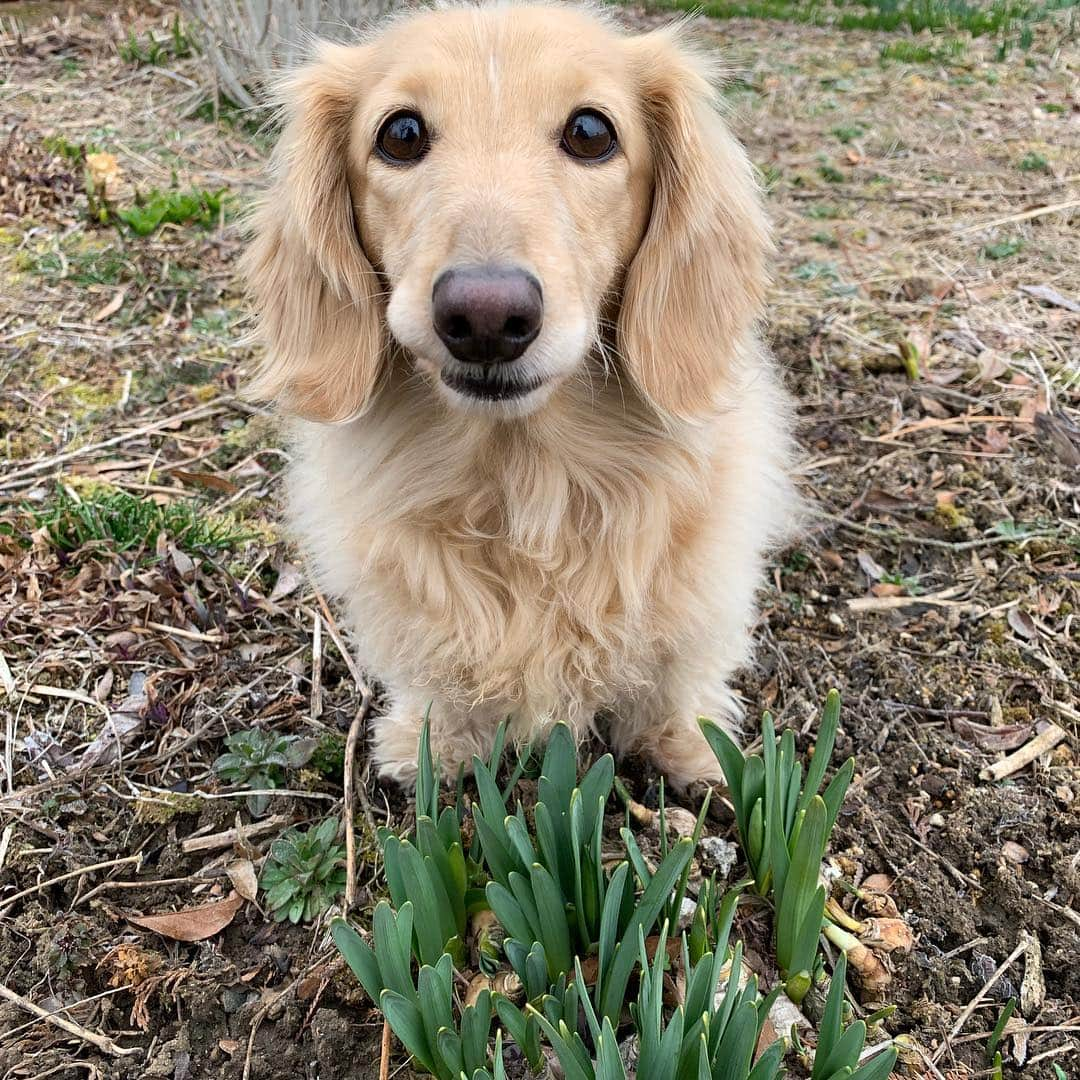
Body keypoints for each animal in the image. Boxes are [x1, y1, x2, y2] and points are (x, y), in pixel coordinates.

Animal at [247, 0, 803, 786]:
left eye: (591, 131)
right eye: (401, 134)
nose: (485, 318)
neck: (527, 481)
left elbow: (677, 671)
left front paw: (690, 745)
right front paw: (432, 743)